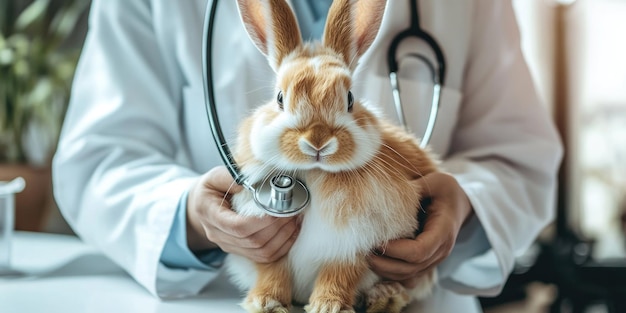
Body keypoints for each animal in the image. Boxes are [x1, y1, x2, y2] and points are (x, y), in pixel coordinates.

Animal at [225, 0, 438, 312]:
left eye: (350, 99)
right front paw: (267, 302)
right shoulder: (269, 247)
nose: (317, 141)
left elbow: (338, 275)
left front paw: (328, 306)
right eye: (279, 99)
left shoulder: (352, 247)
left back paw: (386, 298)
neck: (315, 175)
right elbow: (272, 272)